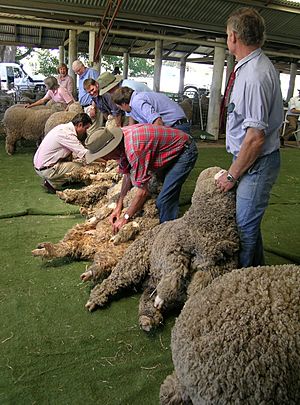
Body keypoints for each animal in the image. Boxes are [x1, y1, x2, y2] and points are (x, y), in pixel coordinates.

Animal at [84, 166, 239, 330]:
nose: (226, 173)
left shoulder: (217, 264)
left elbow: (196, 282)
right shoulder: (178, 249)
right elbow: (177, 273)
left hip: (148, 275)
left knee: (146, 294)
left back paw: (148, 316)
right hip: (138, 264)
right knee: (118, 279)